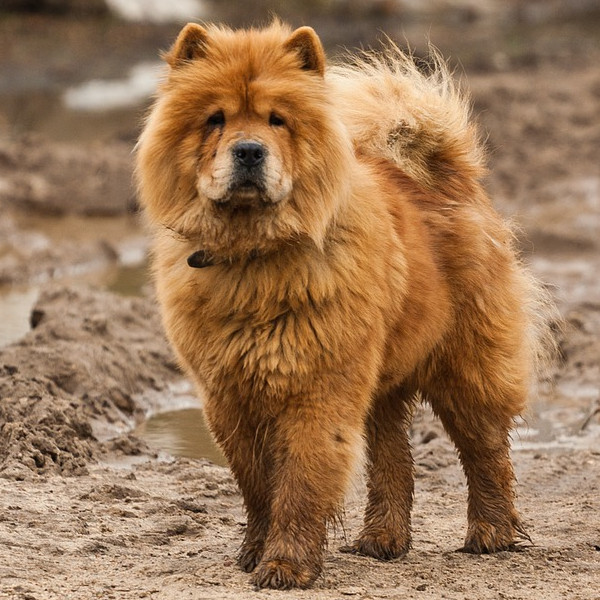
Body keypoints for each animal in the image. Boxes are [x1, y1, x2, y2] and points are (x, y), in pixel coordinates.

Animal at [137, 22, 552, 592]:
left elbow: (300, 484)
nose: (249, 151)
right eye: (214, 119)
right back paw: (383, 540)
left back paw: (490, 534)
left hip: (467, 366)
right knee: (394, 460)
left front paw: (285, 566)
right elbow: (256, 484)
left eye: (277, 120)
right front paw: (253, 551)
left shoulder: (318, 390)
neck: (253, 258)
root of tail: (450, 175)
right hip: (381, 381)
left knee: (485, 450)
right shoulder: (228, 396)